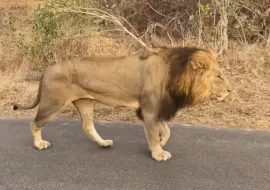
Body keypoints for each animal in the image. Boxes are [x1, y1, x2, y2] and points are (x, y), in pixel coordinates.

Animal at [12, 46, 232, 161]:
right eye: (219, 76)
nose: (230, 91)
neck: (177, 75)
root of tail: (46, 70)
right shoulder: (150, 110)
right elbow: (155, 133)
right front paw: (158, 153)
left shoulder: (156, 109)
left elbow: (166, 131)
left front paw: (161, 143)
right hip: (53, 102)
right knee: (34, 123)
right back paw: (39, 144)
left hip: (85, 102)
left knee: (87, 126)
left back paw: (103, 143)